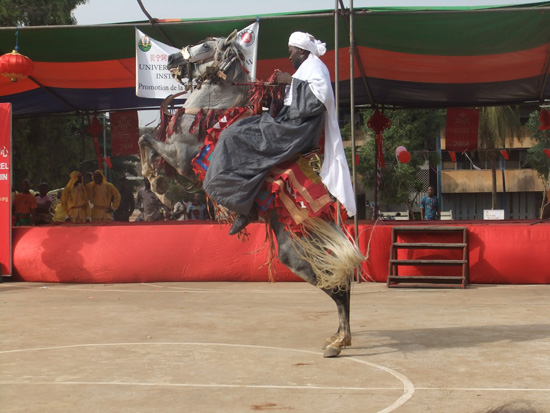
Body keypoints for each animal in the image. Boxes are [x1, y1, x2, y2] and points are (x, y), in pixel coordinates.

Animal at [138, 30, 364, 356]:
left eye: (205, 45)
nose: (172, 58)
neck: (213, 111)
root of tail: (320, 215)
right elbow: (145, 140)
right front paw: (158, 183)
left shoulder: (180, 157)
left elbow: (145, 141)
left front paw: (160, 188)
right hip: (299, 251)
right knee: (337, 279)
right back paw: (337, 337)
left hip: (298, 253)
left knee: (337, 283)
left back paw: (339, 341)